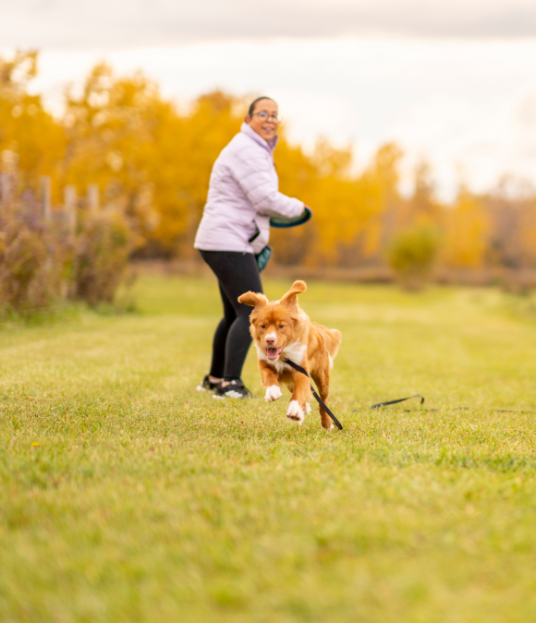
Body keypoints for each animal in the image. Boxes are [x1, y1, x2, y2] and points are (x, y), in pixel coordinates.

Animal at [238, 282, 342, 428]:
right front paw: (272, 392)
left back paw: (326, 422)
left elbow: (299, 392)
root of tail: (317, 329)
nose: (269, 340)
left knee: (323, 400)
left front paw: (294, 410)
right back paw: (305, 408)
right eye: (263, 326)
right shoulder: (264, 362)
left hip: (322, 376)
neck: (283, 356)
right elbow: (268, 375)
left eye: (281, 326)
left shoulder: (301, 371)